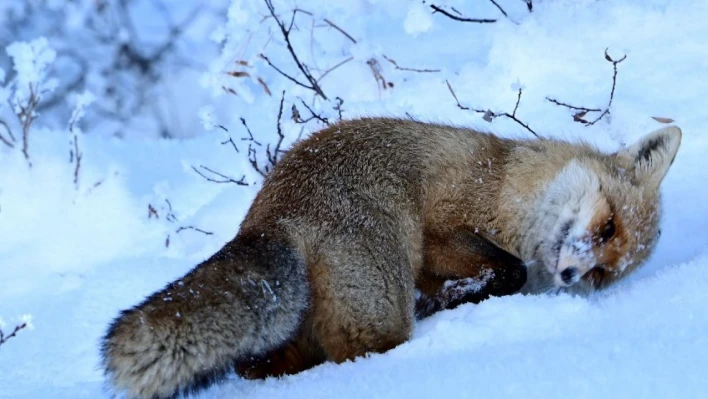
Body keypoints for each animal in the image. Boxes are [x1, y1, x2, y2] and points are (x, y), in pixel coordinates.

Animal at [99, 117, 680, 398]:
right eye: (607, 225)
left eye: (603, 274)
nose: (571, 273)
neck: (512, 191)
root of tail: (274, 213)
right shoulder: (444, 223)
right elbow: (506, 271)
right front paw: (463, 295)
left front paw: (458, 298)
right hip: (382, 309)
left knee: (262, 363)